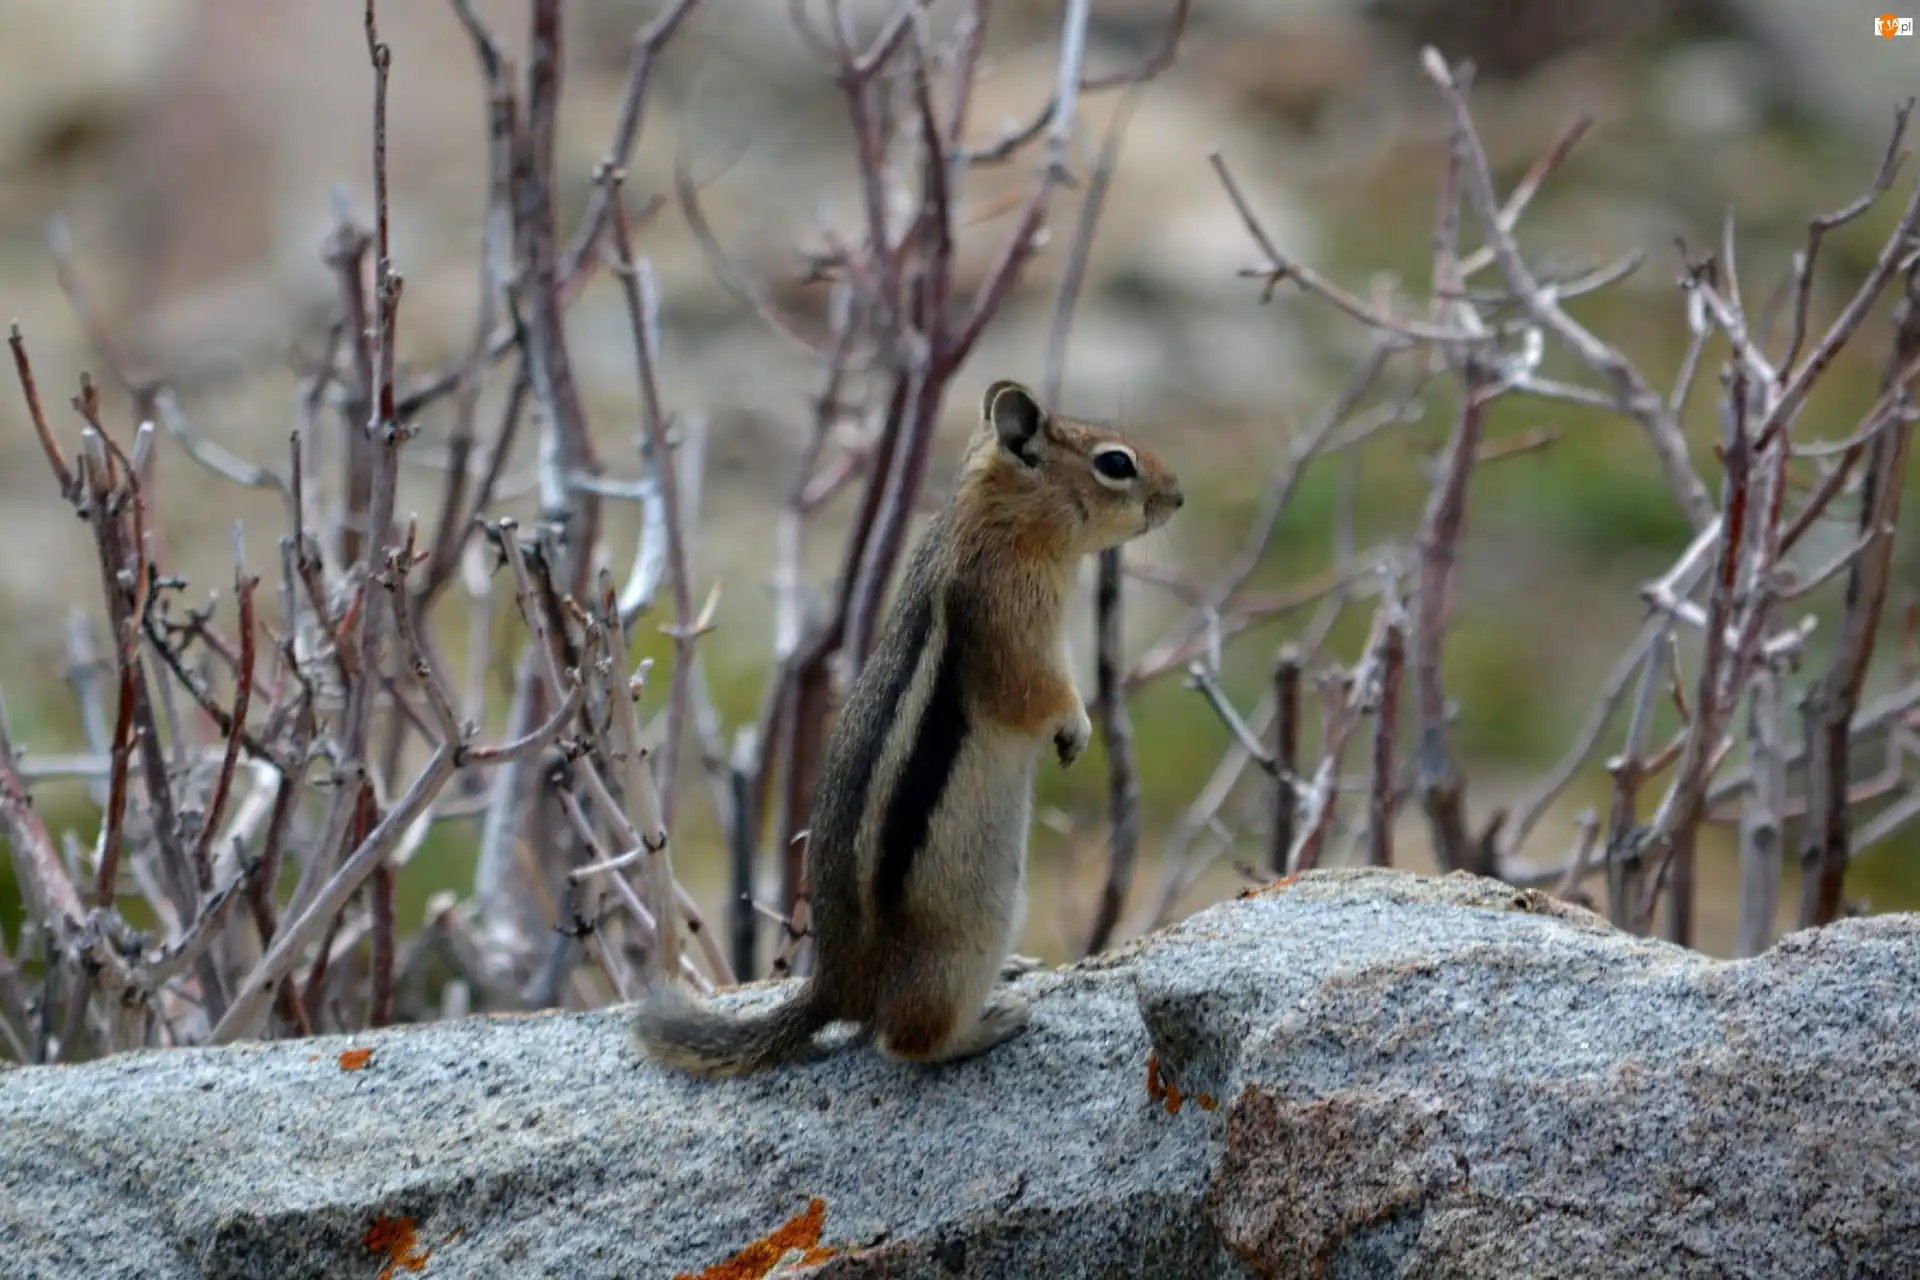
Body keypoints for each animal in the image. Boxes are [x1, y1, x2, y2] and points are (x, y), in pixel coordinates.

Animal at [628, 378, 1184, 1077]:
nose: (1178, 496)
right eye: (1115, 463)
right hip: (965, 940)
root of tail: (835, 986)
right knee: (902, 1038)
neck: (998, 518)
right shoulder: (1009, 621)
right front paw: (1076, 729)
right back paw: (987, 1025)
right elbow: (1038, 692)